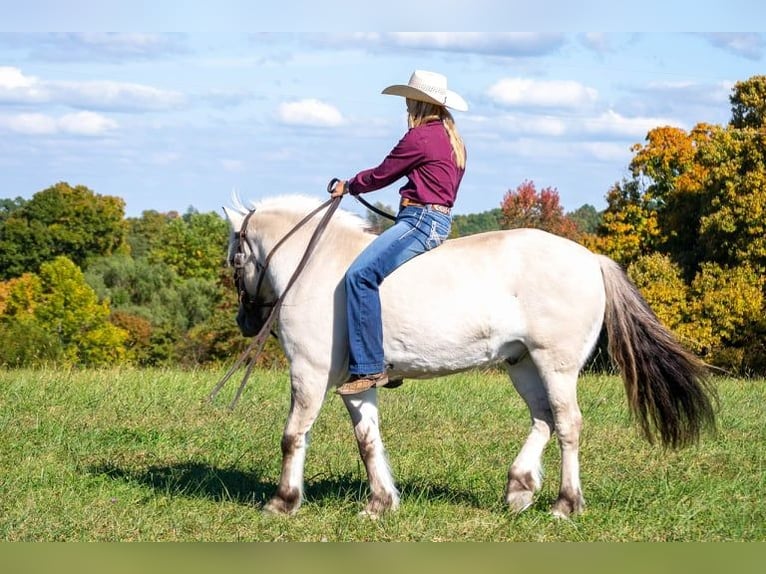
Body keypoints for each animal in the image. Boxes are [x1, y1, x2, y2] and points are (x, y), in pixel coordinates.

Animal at [222, 196, 720, 520]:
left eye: (234, 257)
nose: (246, 320)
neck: (320, 265)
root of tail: (591, 259)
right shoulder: (355, 384)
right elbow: (368, 441)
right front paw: (380, 503)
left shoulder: (308, 373)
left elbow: (292, 436)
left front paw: (283, 501)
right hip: (522, 364)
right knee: (543, 419)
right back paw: (519, 489)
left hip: (555, 365)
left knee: (568, 424)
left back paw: (564, 504)